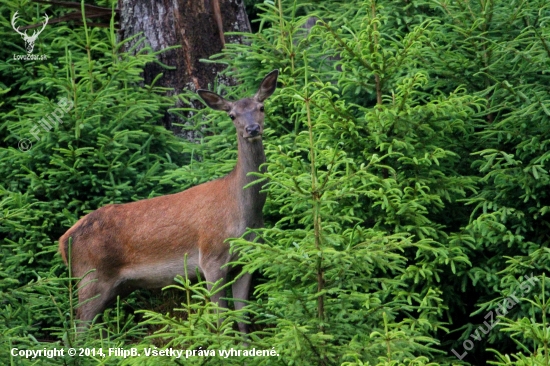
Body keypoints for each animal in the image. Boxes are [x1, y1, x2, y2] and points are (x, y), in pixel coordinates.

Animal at [59, 68, 280, 332]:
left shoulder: (246, 260)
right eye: (232, 115)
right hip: (90, 276)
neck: (244, 214)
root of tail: (63, 241)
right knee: (76, 328)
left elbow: (242, 316)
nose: (252, 129)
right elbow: (221, 318)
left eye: (261, 107)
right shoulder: (211, 257)